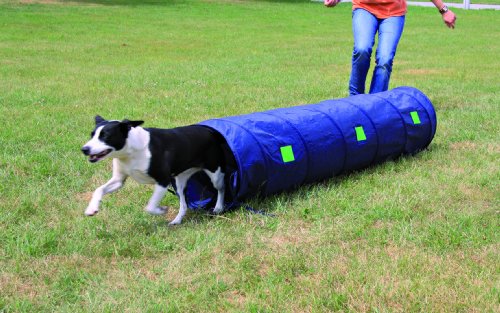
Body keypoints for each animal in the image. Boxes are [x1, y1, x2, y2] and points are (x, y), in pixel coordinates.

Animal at [81, 115, 226, 224]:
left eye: (105, 136)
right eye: (92, 135)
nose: (84, 149)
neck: (131, 151)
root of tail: (211, 131)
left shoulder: (163, 180)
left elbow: (150, 206)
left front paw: (161, 210)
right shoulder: (118, 180)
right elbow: (99, 189)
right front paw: (92, 208)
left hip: (215, 174)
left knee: (221, 189)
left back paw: (218, 208)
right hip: (180, 180)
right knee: (183, 204)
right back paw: (177, 220)